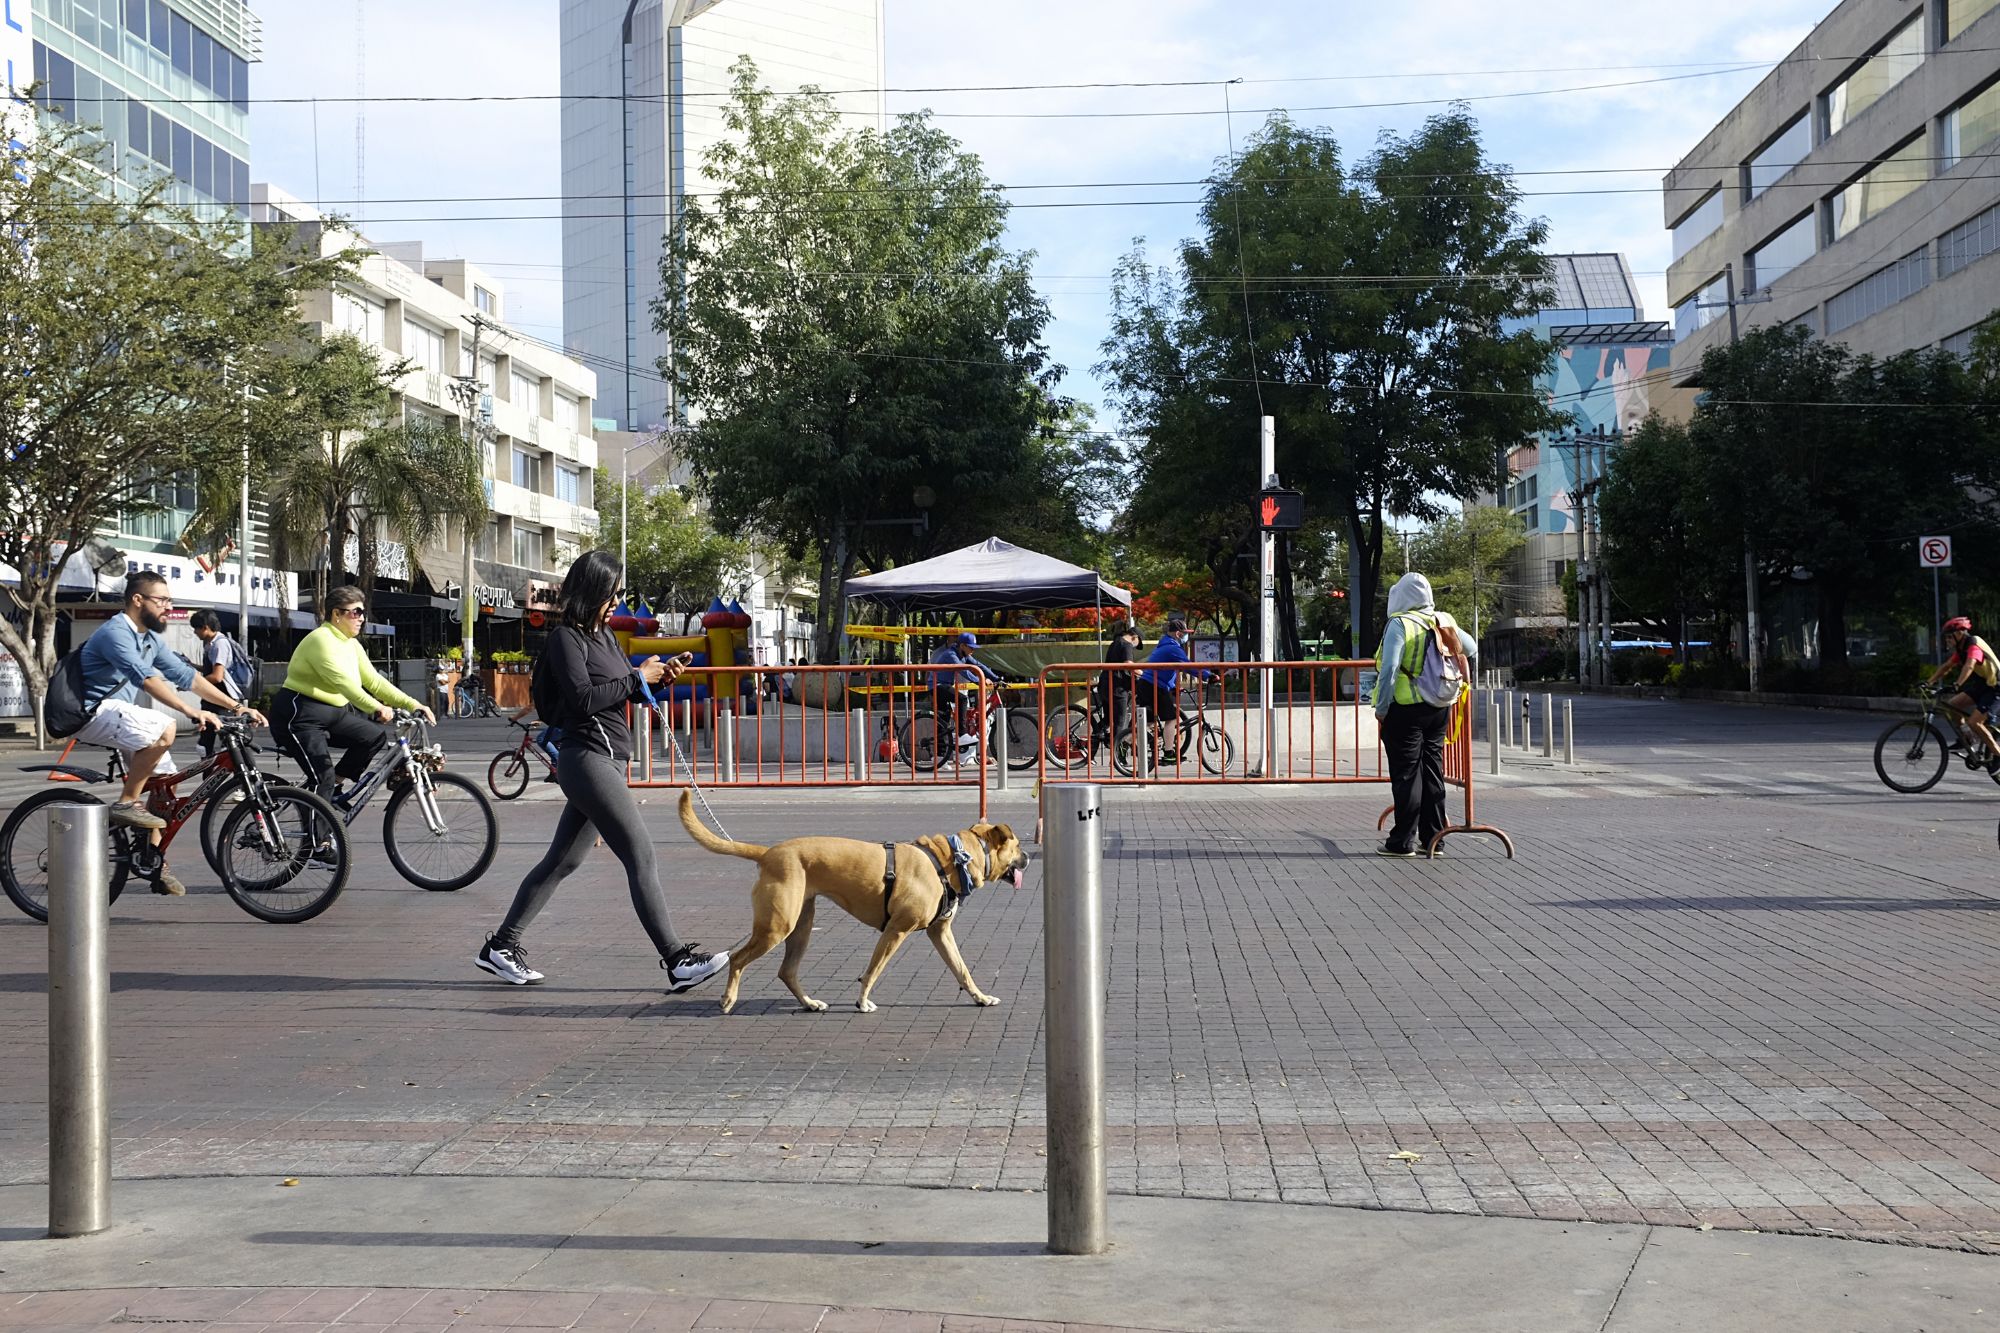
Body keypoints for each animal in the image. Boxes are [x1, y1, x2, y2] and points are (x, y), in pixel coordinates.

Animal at [684, 788, 1032, 1008]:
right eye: (1017, 846)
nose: (1028, 857)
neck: (950, 860)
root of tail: (769, 853)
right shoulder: (895, 931)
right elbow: (874, 969)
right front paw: (863, 1000)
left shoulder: (940, 932)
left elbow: (962, 970)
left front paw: (980, 997)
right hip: (776, 926)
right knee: (737, 959)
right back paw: (729, 999)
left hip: (800, 925)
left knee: (787, 971)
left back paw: (809, 1003)